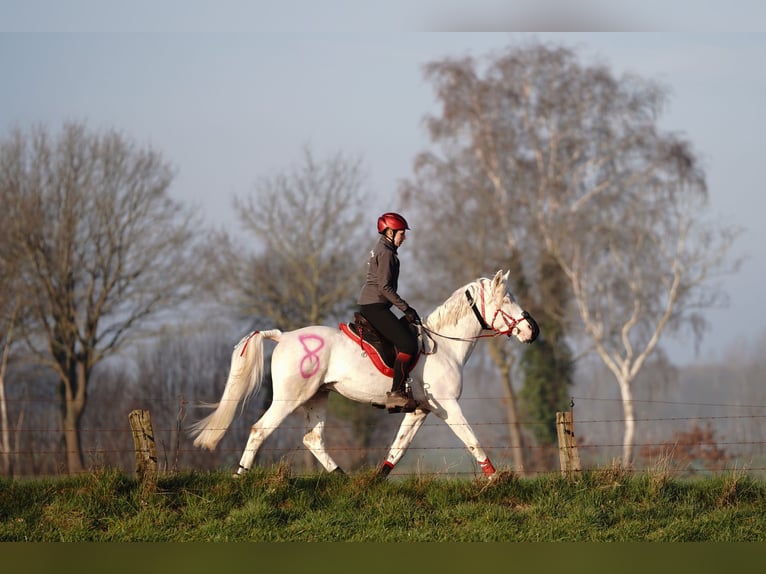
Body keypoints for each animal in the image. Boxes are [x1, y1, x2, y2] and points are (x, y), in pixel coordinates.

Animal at [192, 272, 540, 480]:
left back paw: (342, 478)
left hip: (318, 397)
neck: (443, 346)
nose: (532, 331)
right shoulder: (449, 406)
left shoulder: (421, 411)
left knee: (312, 439)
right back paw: (239, 477)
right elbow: (472, 440)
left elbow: (398, 449)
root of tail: (283, 337)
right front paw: (495, 478)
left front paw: (375, 482)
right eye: (506, 300)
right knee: (259, 430)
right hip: (291, 398)